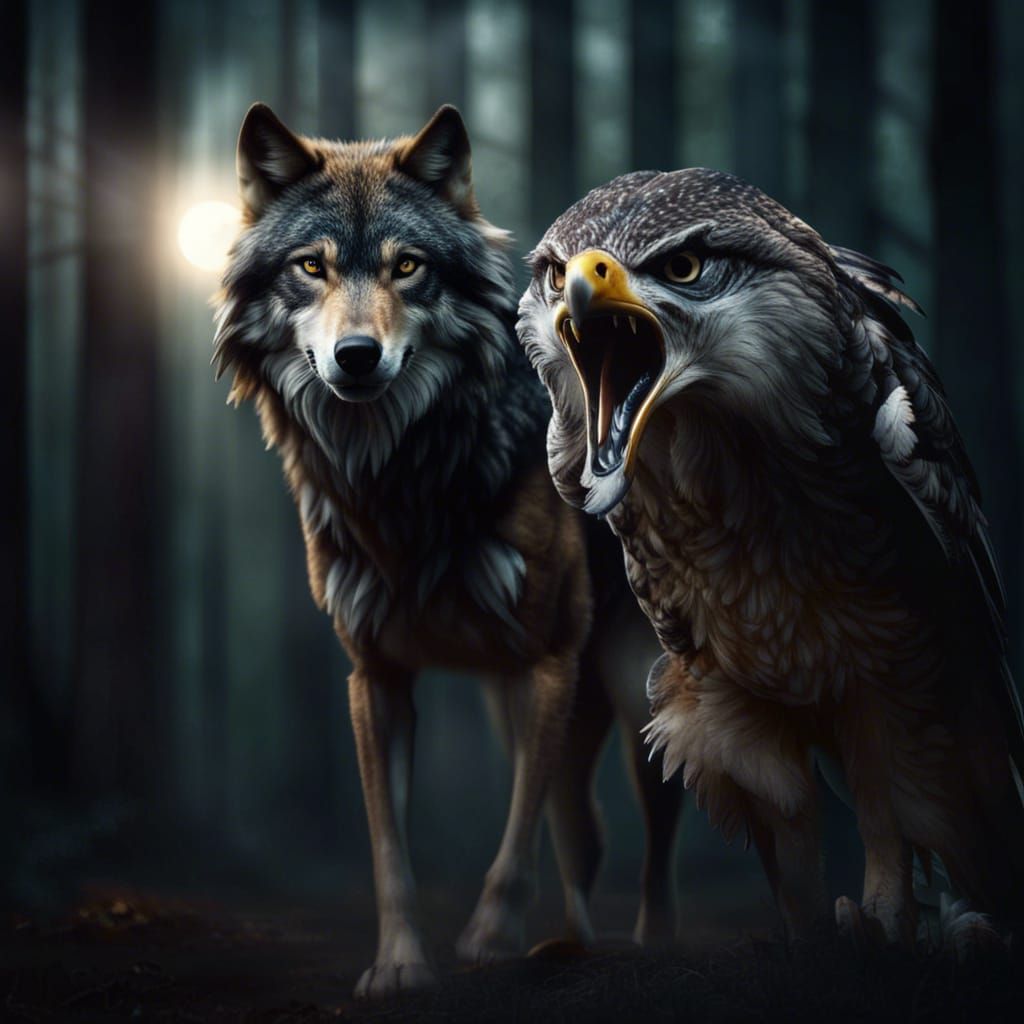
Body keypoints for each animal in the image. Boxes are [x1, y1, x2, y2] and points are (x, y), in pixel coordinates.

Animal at [212, 103, 681, 997]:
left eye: (408, 268)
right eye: (312, 267)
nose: (357, 356)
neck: (402, 478)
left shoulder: (545, 663)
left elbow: (513, 845)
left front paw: (488, 939)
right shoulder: (377, 677)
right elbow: (390, 852)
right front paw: (399, 965)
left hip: (631, 700)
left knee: (648, 841)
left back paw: (645, 947)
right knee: (586, 833)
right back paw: (573, 946)